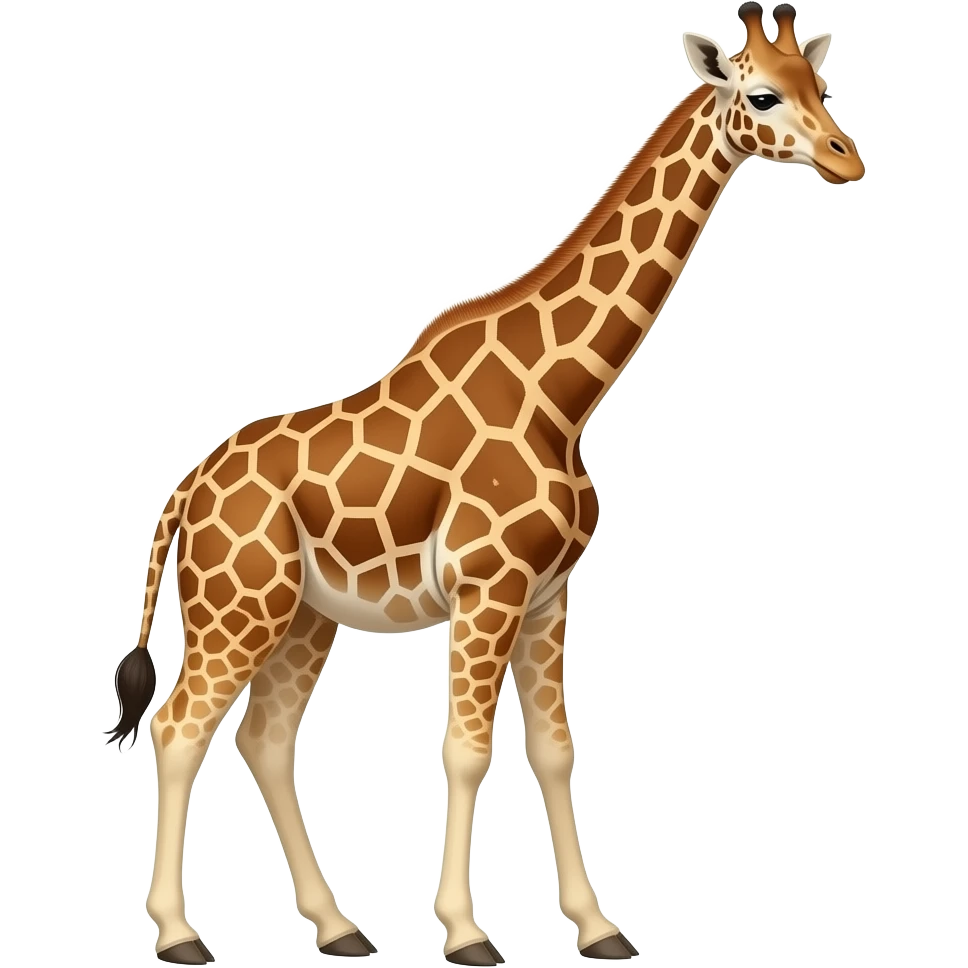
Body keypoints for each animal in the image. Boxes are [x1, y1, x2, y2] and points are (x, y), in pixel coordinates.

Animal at [106, 4, 866, 964]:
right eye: (762, 94)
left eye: (822, 85)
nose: (847, 157)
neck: (562, 395)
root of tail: (186, 490)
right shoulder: (488, 586)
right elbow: (467, 750)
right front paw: (467, 933)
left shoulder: (548, 594)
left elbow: (556, 749)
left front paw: (597, 928)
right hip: (237, 604)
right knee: (180, 726)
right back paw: (178, 934)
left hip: (305, 615)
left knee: (265, 738)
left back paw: (338, 927)